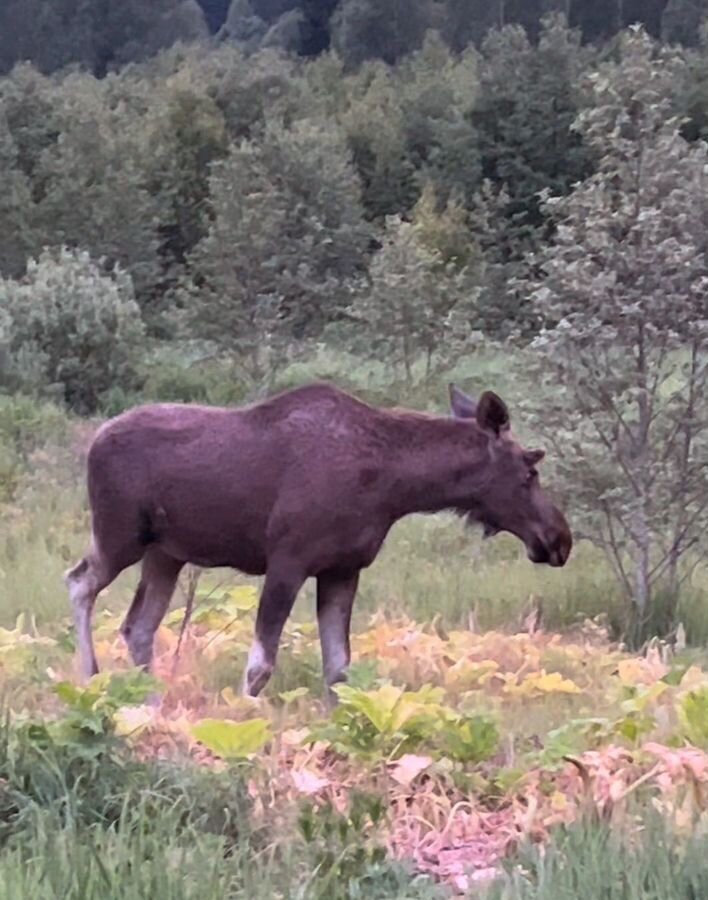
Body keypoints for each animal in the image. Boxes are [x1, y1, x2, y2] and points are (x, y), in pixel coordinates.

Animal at [65, 384, 576, 700]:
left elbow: (339, 671)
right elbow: (260, 667)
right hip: (120, 535)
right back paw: (90, 677)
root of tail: (93, 441)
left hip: (165, 554)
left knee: (138, 627)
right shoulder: (287, 561)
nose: (559, 538)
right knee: (78, 582)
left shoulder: (342, 569)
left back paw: (148, 705)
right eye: (530, 470)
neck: (393, 487)